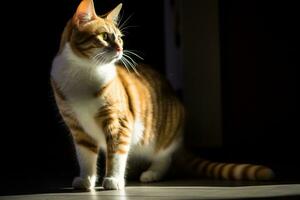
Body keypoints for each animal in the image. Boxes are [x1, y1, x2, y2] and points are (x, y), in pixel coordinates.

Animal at [50, 0, 274, 191]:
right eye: (105, 37)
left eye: (120, 37)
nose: (121, 48)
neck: (82, 71)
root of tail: (181, 141)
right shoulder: (78, 129)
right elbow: (85, 158)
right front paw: (86, 180)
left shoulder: (118, 123)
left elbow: (116, 154)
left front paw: (113, 179)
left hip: (159, 138)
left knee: (164, 159)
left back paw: (151, 174)